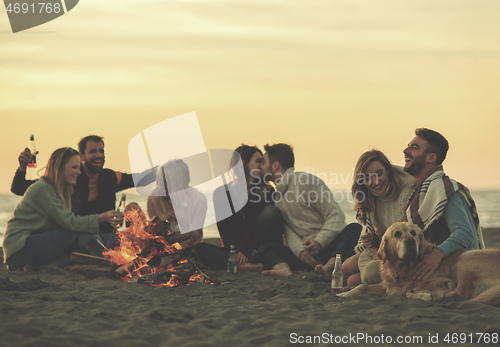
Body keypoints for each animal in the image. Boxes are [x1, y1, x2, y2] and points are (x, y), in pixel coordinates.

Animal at [338, 224, 500, 306]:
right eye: (397, 234)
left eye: (413, 233)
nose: (410, 241)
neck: (403, 267)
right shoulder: (388, 287)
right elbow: (362, 286)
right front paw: (345, 293)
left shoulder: (440, 279)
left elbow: (408, 291)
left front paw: (427, 294)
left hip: (465, 258)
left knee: (462, 293)